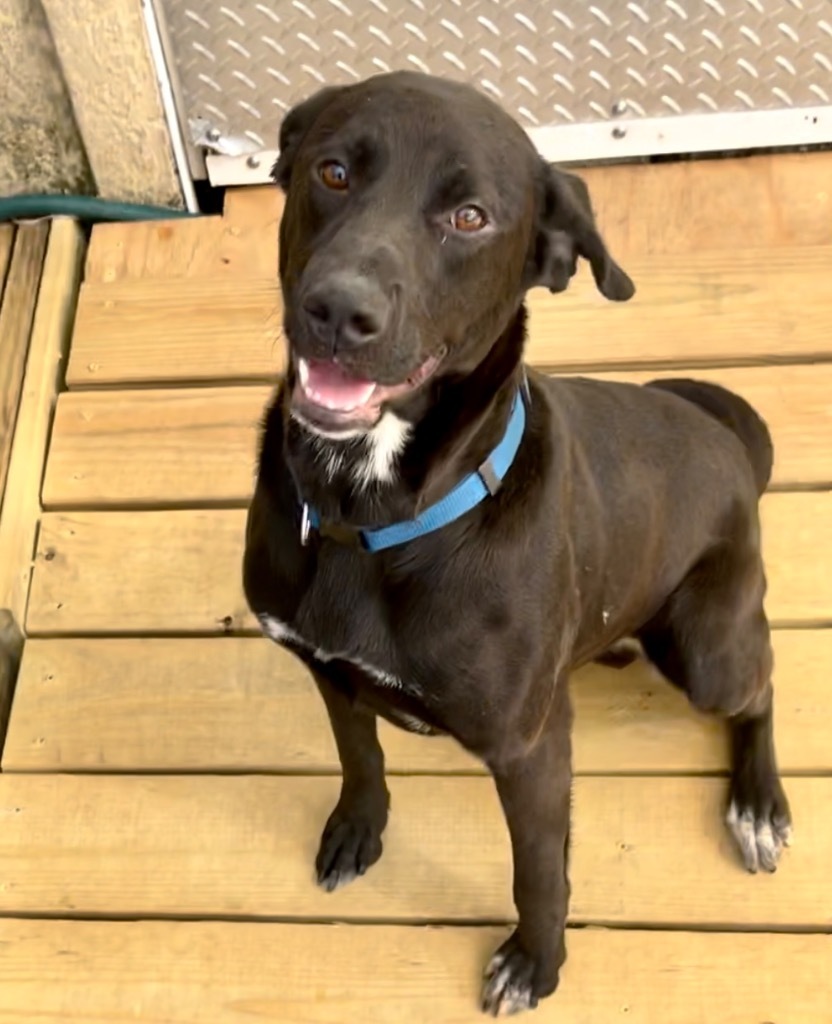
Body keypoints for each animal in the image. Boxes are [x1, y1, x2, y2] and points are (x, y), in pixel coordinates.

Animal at [241, 72, 791, 1015]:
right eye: (333, 171)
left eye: (470, 217)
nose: (339, 309)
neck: (374, 515)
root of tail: (728, 441)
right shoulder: (326, 668)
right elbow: (359, 752)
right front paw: (359, 826)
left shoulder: (531, 750)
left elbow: (539, 873)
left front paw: (536, 962)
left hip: (707, 648)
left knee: (761, 685)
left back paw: (758, 805)